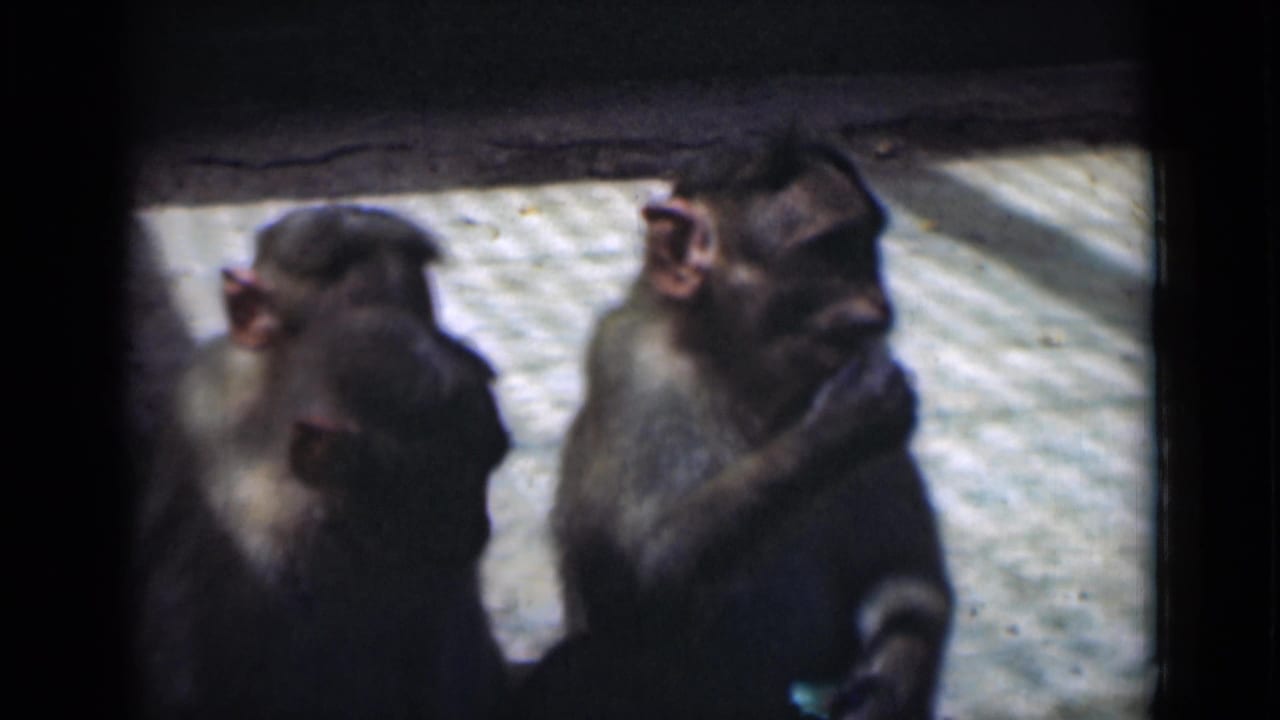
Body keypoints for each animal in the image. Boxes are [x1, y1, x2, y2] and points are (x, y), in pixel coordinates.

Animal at [514, 135, 952, 720]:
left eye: (866, 250)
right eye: (829, 253)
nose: (877, 309)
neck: (746, 378)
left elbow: (906, 575)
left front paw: (887, 683)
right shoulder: (637, 371)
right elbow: (637, 590)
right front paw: (846, 423)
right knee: (578, 666)